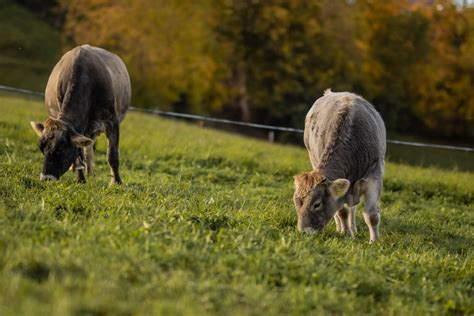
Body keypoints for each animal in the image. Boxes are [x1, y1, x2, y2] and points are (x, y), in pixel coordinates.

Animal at [30, 43, 131, 183]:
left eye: (61, 149)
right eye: (41, 148)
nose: (46, 177)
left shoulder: (112, 120)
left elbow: (112, 155)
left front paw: (116, 182)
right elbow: (78, 154)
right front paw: (81, 180)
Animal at [294, 89, 386, 242]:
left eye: (317, 204)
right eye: (296, 202)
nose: (304, 232)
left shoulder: (375, 173)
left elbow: (371, 216)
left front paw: (374, 241)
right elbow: (342, 211)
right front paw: (347, 235)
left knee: (353, 207)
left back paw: (353, 227)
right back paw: (341, 228)